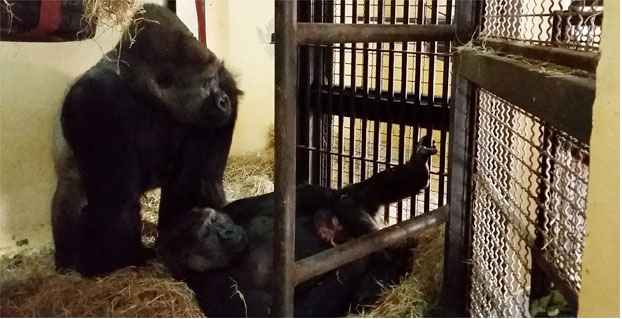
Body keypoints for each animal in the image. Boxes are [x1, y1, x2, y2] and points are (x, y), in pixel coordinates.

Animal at [51, 3, 244, 276]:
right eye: (207, 82)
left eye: (215, 80)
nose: (224, 100)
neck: (145, 92)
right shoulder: (94, 99)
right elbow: (116, 204)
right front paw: (117, 261)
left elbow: (199, 181)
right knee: (73, 192)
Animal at [158, 135, 442, 318]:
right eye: (208, 234)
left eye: (216, 221)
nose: (227, 232)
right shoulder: (212, 288)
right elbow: (279, 312)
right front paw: (360, 259)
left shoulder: (237, 209)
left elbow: (299, 197)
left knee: (351, 197)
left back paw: (415, 173)